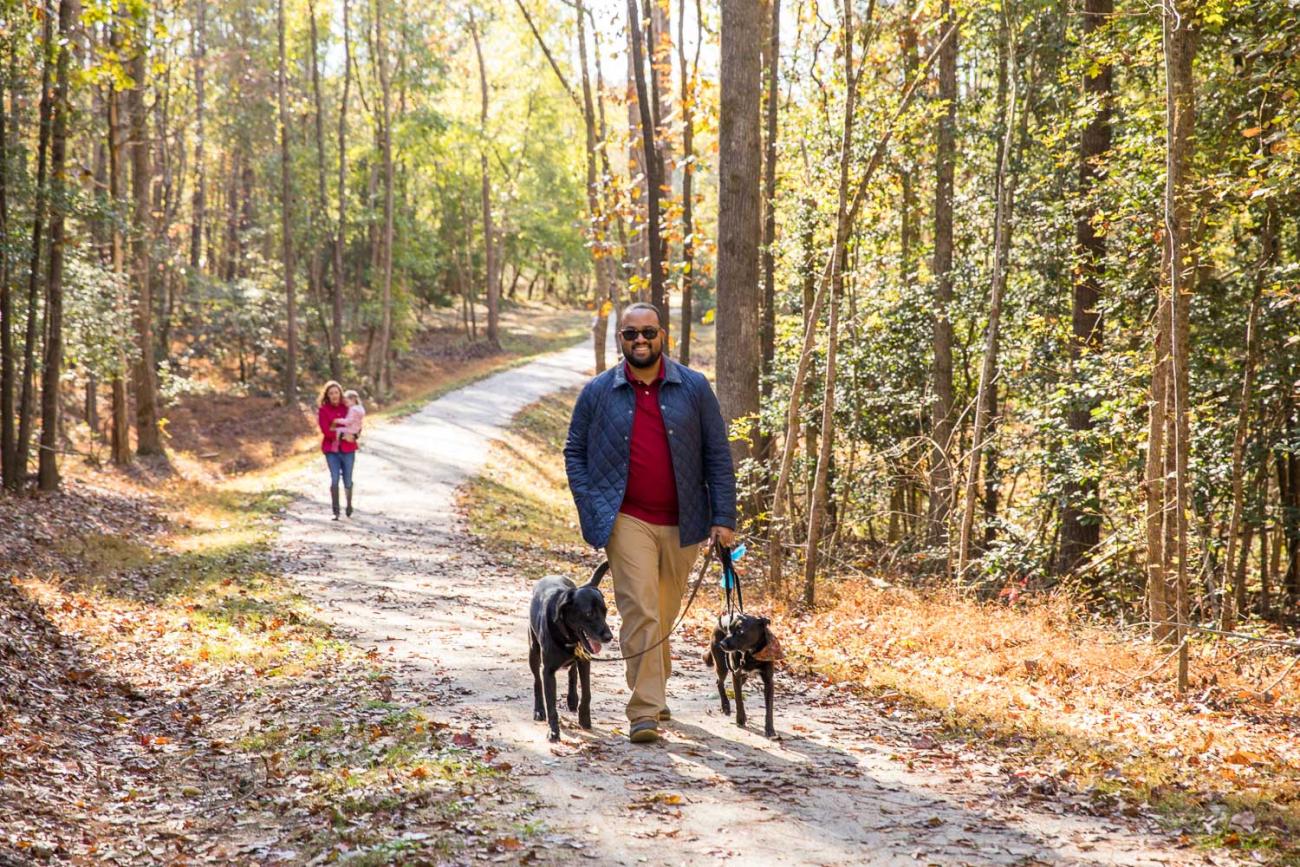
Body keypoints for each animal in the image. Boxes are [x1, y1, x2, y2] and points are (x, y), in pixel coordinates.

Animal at [525, 566, 611, 743]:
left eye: (605, 611)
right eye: (589, 613)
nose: (609, 636)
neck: (568, 636)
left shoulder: (585, 662)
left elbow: (587, 694)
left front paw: (584, 720)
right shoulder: (548, 672)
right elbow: (551, 705)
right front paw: (553, 731)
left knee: (572, 672)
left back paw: (572, 699)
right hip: (533, 651)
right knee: (537, 681)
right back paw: (539, 710)